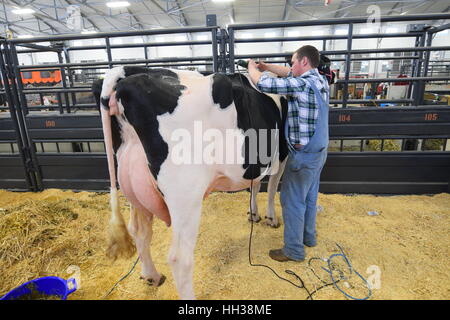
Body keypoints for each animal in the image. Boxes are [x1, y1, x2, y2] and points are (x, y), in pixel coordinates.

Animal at [92, 65, 288, 300]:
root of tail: (125, 74)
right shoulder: (283, 153)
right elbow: (272, 186)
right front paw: (271, 218)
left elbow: (256, 185)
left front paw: (254, 213)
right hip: (186, 195)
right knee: (180, 258)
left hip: (133, 185)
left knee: (139, 231)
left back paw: (152, 276)